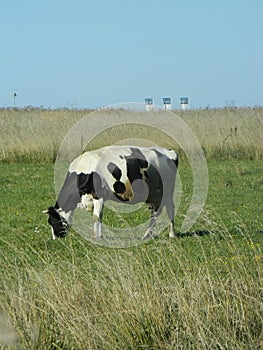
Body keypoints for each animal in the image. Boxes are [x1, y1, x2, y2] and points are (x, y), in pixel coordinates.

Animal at [43, 146, 179, 241]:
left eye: (52, 221)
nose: (55, 238)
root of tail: (168, 151)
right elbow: (100, 216)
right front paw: (100, 235)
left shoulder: (99, 195)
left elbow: (96, 216)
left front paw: (95, 237)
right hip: (153, 193)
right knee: (155, 211)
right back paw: (147, 235)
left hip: (168, 189)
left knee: (170, 209)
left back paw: (172, 234)